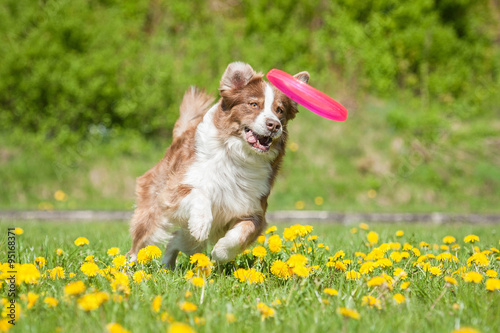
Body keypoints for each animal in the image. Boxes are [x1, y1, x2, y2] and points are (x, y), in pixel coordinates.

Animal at [127, 61, 308, 268]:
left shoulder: (254, 209)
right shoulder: (174, 190)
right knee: (139, 243)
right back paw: (128, 269)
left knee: (175, 240)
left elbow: (241, 234)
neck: (240, 156)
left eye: (280, 110)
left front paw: (220, 252)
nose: (274, 125)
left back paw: (168, 268)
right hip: (154, 209)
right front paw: (201, 223)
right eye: (254, 104)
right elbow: (199, 193)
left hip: (187, 238)